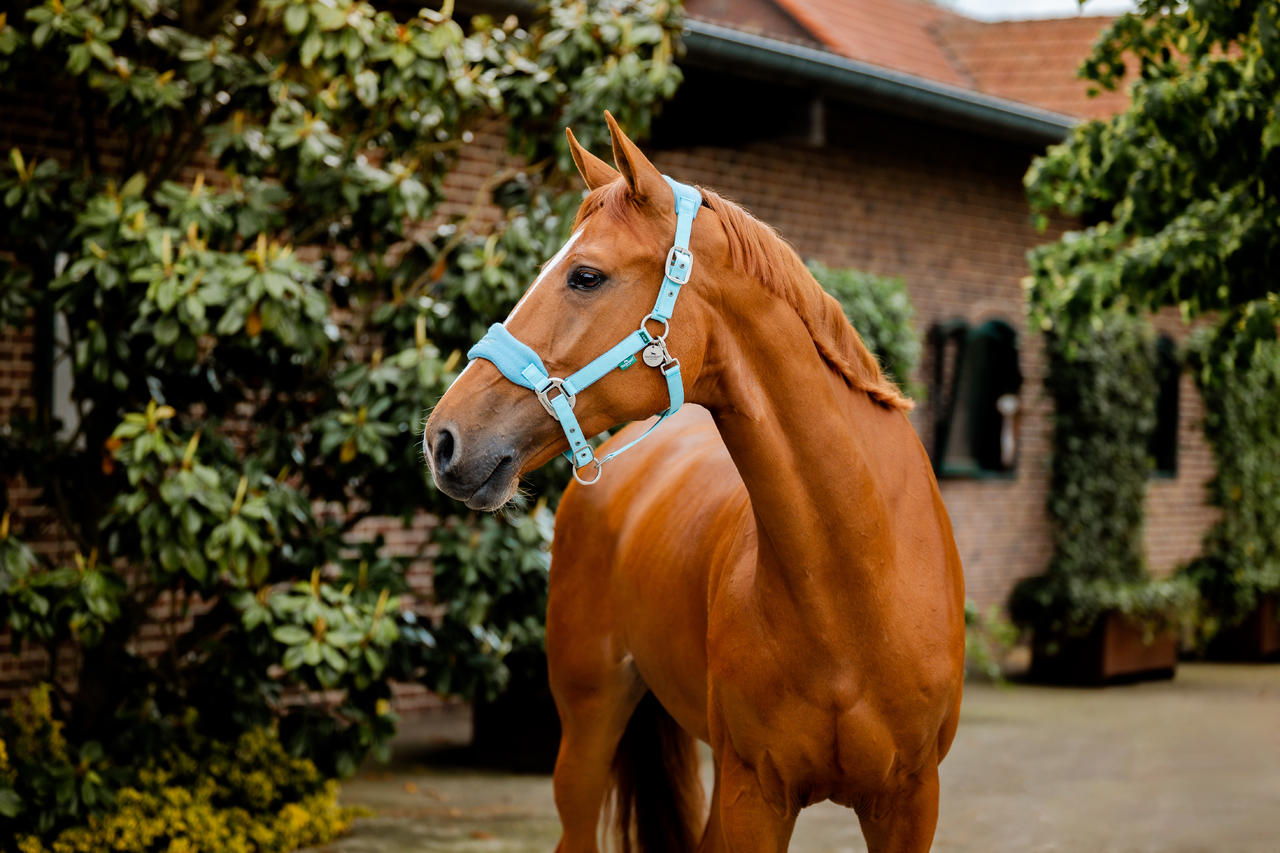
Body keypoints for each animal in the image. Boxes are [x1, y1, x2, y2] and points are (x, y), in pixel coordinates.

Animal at [424, 114, 962, 850]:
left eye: (585, 276)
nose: (442, 438)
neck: (863, 578)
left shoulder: (909, 802)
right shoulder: (754, 793)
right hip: (588, 727)